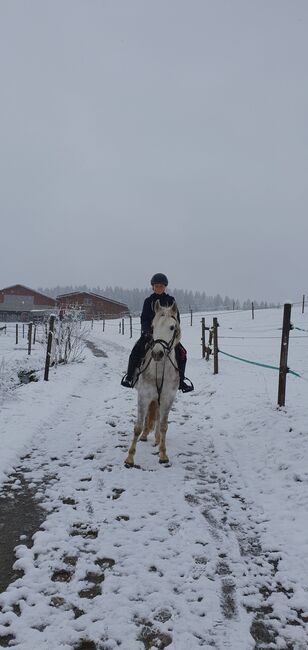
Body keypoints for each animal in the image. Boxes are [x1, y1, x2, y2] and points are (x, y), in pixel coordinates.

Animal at [124, 300, 180, 466]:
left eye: (172, 327)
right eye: (153, 327)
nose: (157, 354)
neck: (159, 371)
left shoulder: (168, 398)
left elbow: (163, 426)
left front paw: (163, 454)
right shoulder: (143, 396)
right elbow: (137, 426)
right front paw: (130, 458)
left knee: (158, 418)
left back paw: (156, 439)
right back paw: (145, 436)